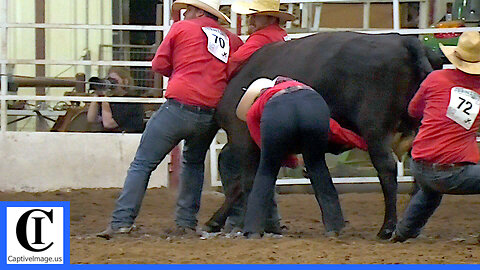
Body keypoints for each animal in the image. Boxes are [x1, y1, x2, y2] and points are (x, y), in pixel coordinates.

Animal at [207, 30, 442, 239]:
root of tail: (405, 41)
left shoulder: (243, 138)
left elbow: (242, 182)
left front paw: (219, 221)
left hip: (374, 129)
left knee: (387, 170)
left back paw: (387, 227)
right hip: (419, 130)